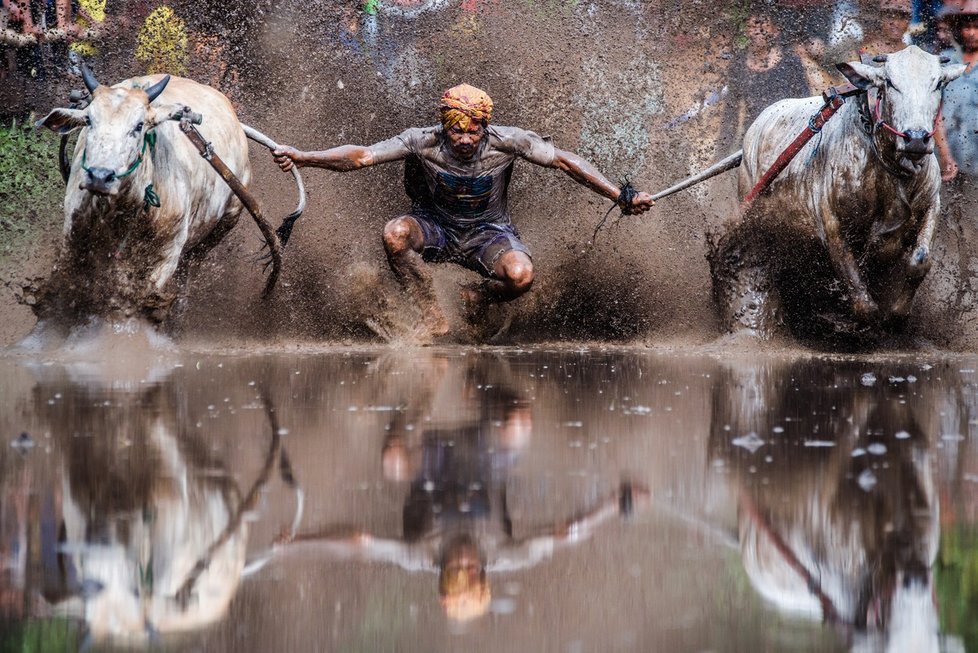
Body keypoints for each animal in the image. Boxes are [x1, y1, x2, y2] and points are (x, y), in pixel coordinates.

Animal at [704, 45, 964, 342]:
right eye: (888, 82)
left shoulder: (932, 204)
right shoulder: (831, 224)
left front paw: (897, 316)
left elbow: (920, 261)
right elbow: (852, 281)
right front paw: (851, 324)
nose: (917, 138)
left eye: (939, 83)